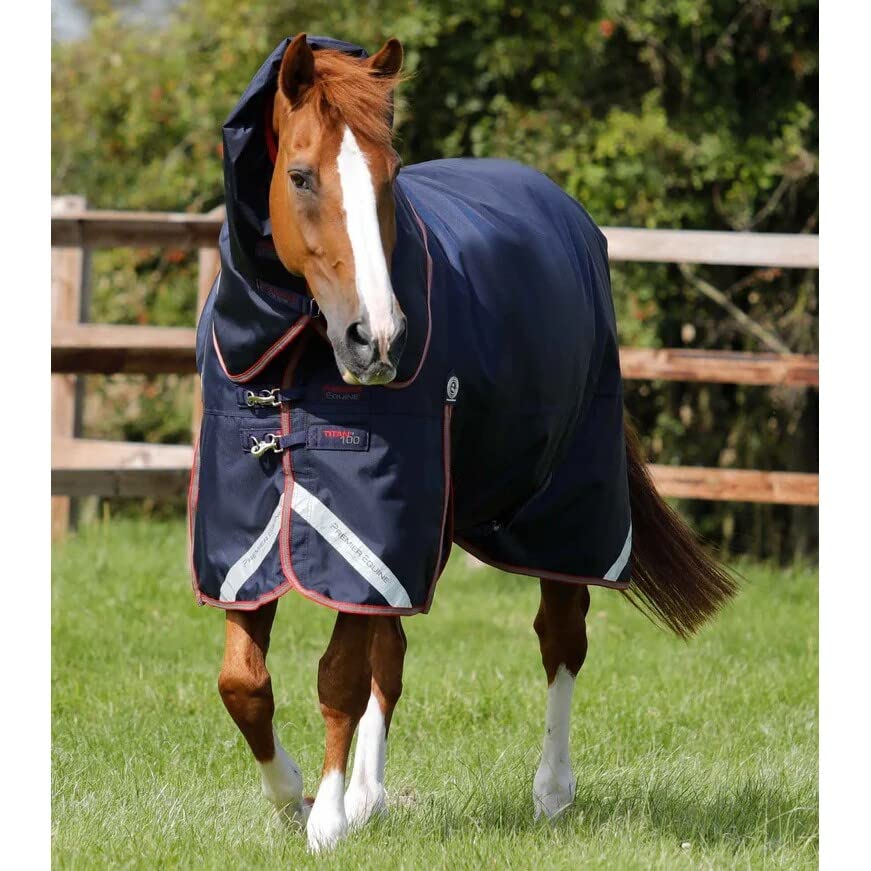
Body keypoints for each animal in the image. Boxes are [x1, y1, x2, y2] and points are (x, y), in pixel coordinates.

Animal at [189, 34, 736, 852]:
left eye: (388, 177)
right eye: (299, 175)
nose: (377, 336)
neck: (287, 359)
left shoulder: (370, 526)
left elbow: (337, 675)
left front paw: (322, 820)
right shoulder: (248, 534)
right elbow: (244, 683)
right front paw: (293, 799)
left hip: (559, 507)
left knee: (560, 638)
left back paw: (551, 793)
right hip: (428, 526)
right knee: (393, 654)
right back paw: (370, 796)